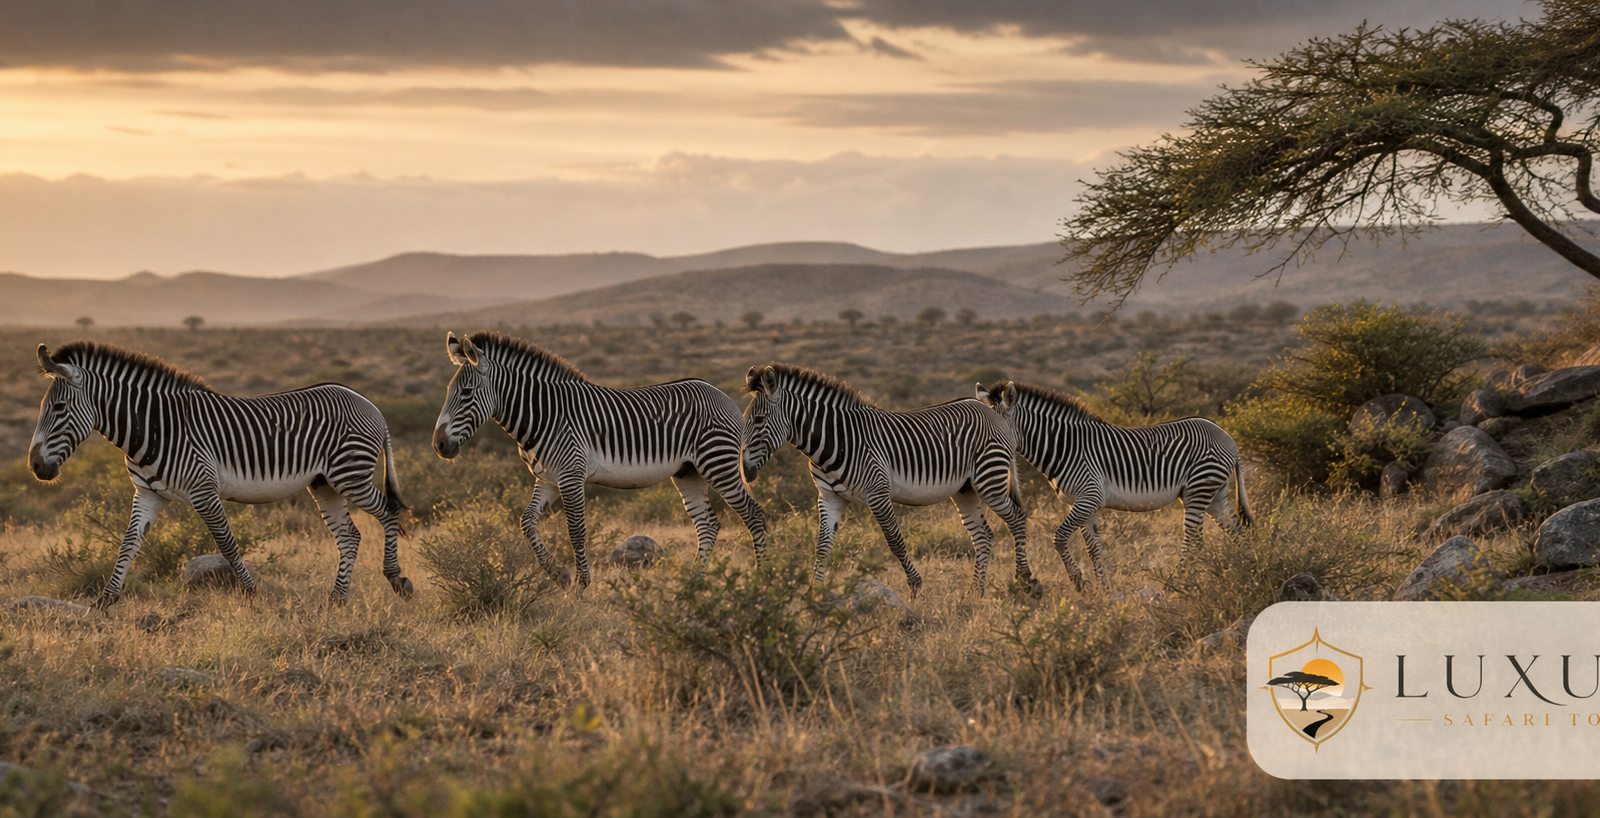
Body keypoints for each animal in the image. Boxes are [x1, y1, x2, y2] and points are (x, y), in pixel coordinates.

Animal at [27, 342, 413, 610]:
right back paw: (336, 599)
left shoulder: (203, 490)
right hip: (325, 483)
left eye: (58, 408)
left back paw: (397, 580)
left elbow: (226, 543)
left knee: (389, 511)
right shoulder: (147, 494)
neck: (154, 428)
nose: (35, 466)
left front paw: (251, 594)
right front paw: (106, 600)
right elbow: (128, 544)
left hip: (351, 474)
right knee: (350, 536)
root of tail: (369, 403)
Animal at [432, 331, 766, 589]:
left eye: (466, 392)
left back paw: (763, 578)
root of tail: (721, 394)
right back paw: (693, 583)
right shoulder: (547, 479)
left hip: (717, 463)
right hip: (689, 472)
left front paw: (581, 584)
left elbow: (576, 531)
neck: (544, 415)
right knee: (708, 525)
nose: (439, 445)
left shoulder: (571, 475)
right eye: (448, 391)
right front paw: (557, 573)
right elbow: (526, 522)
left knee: (753, 514)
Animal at [741, 364, 1036, 598]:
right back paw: (976, 591)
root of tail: (989, 410)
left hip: (990, 479)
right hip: (966, 489)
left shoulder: (878, 493)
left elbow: (895, 541)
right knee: (984, 534)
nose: (744, 471)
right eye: (745, 419)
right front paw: (815, 593)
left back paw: (1025, 580)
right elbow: (822, 546)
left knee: (1017, 519)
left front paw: (915, 585)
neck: (835, 442)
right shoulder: (829, 498)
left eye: (759, 419)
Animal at [976, 380, 1252, 590]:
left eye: (992, 431)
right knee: (1238, 532)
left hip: (1199, 489)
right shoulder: (1085, 503)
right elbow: (1093, 549)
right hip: (1214, 495)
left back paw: (1177, 581)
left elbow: (1059, 537)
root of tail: (1228, 437)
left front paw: (1078, 581)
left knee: (1192, 541)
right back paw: (1250, 570)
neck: (1064, 447)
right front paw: (1103, 590)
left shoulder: (1090, 496)